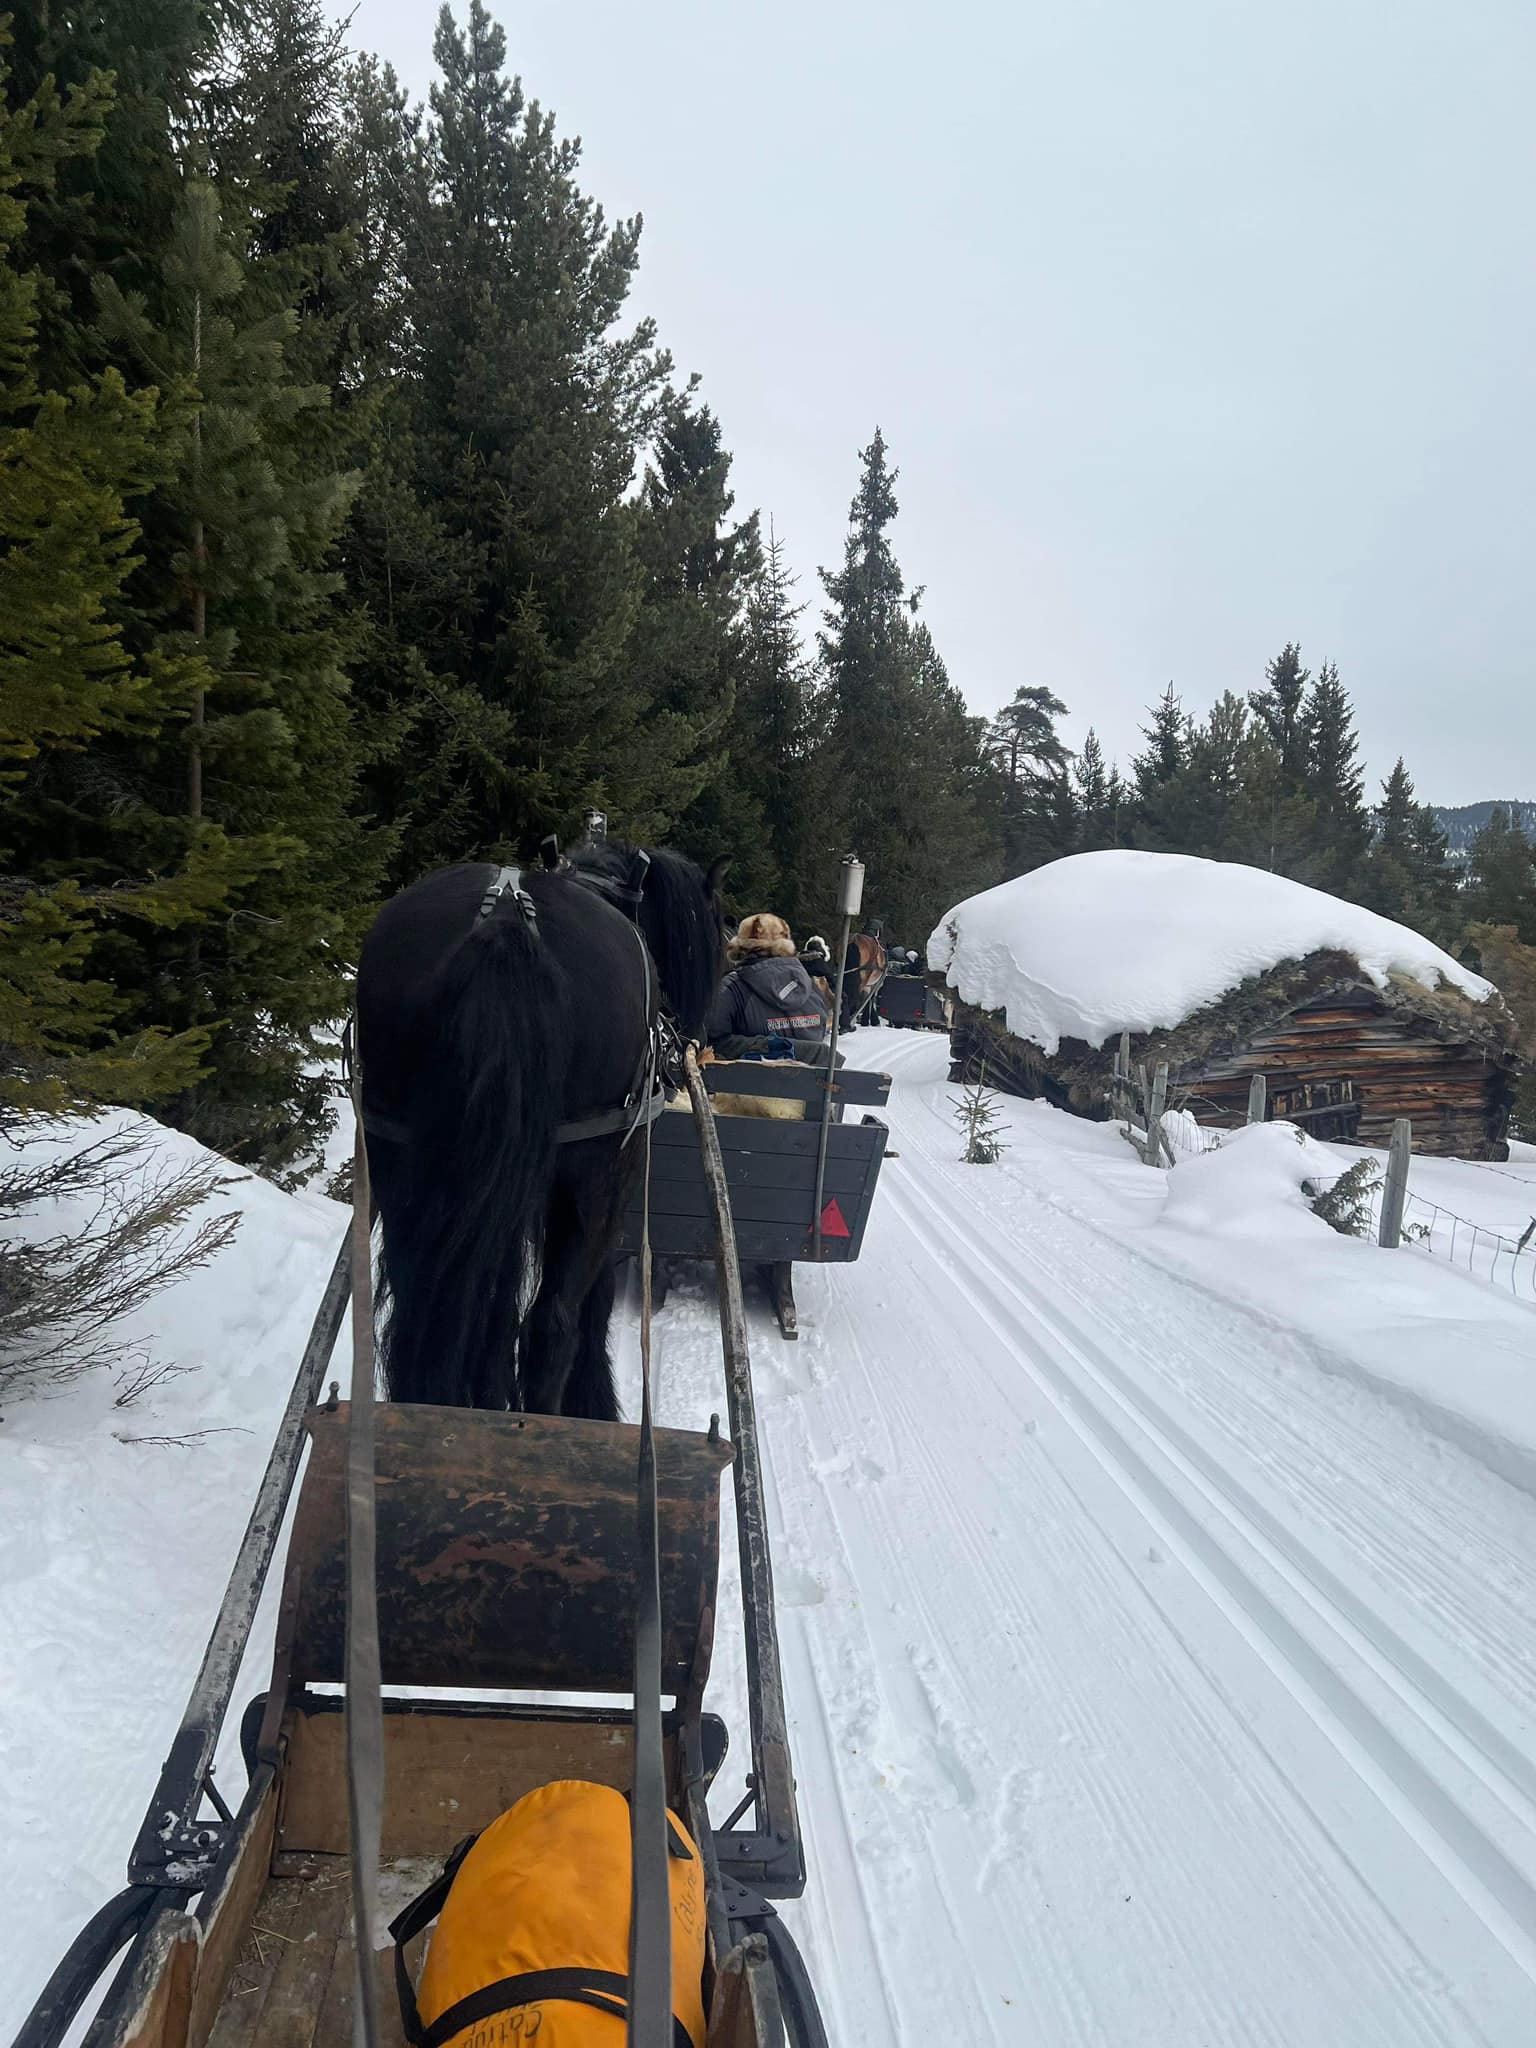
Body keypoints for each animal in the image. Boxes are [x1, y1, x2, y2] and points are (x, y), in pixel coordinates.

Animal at [355, 842, 725, 1419]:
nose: (698, 1041)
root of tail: (507, 918)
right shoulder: (612, 1187)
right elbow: (590, 1304)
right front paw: (594, 1401)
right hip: (595, 1178)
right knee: (548, 1329)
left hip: (399, 1164)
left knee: (430, 1323)